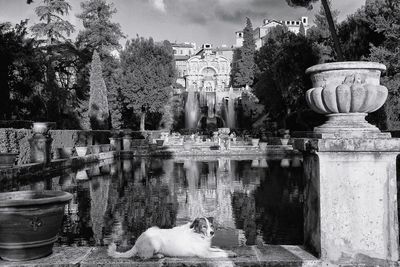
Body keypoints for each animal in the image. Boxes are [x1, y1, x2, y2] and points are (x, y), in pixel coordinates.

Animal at [108, 218, 236, 260]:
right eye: (204, 226)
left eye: (211, 225)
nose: (212, 232)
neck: (198, 234)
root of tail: (137, 241)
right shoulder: (205, 253)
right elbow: (221, 253)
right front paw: (228, 255)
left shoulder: (207, 248)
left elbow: (220, 249)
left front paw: (231, 252)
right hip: (156, 241)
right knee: (143, 256)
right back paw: (158, 255)